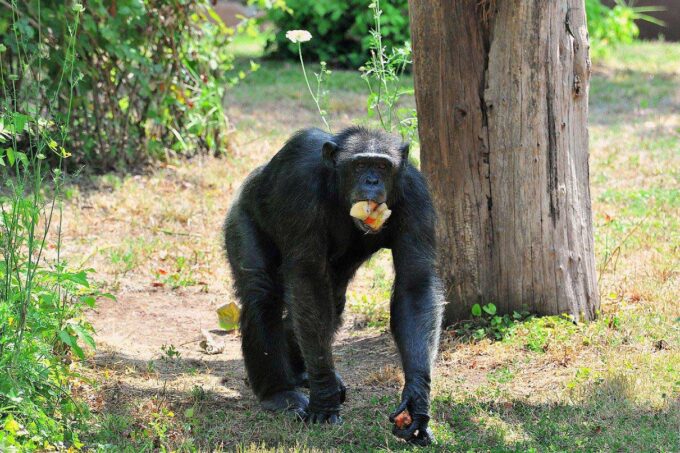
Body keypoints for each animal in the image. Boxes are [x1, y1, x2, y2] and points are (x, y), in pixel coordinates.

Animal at [226, 125, 444, 444]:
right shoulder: (300, 186)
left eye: (382, 166)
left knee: (330, 302)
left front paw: (417, 399)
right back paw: (279, 393)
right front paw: (325, 397)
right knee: (262, 295)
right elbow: (307, 277)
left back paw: (300, 373)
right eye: (360, 165)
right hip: (240, 215)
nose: (371, 180)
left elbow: (414, 283)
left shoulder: (417, 197)